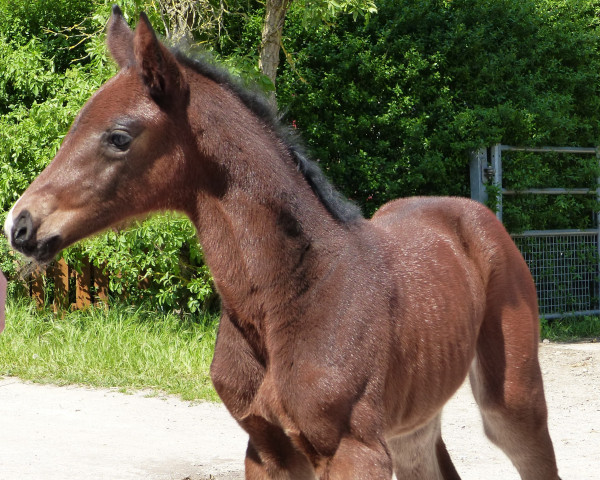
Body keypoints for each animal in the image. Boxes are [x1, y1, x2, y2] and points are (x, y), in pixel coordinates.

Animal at [3, 7, 564, 480]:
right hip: (413, 423)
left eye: (119, 137)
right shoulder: (266, 448)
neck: (293, 293)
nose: (20, 225)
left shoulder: (355, 451)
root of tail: (473, 212)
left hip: (513, 402)